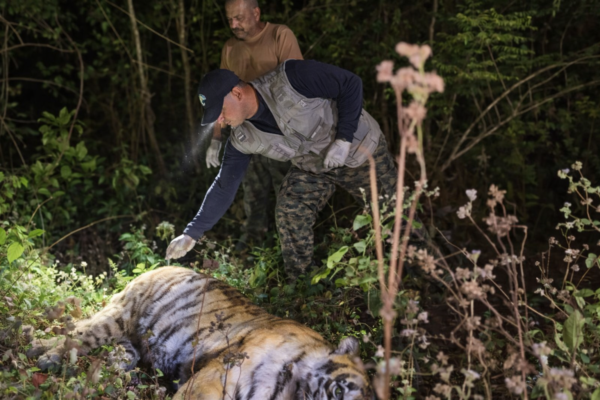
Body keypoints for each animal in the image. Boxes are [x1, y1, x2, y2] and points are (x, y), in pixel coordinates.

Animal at [26, 266, 373, 400]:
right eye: (342, 391)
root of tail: (160, 266)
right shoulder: (217, 375)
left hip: (129, 342)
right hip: (120, 316)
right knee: (80, 334)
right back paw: (44, 356)